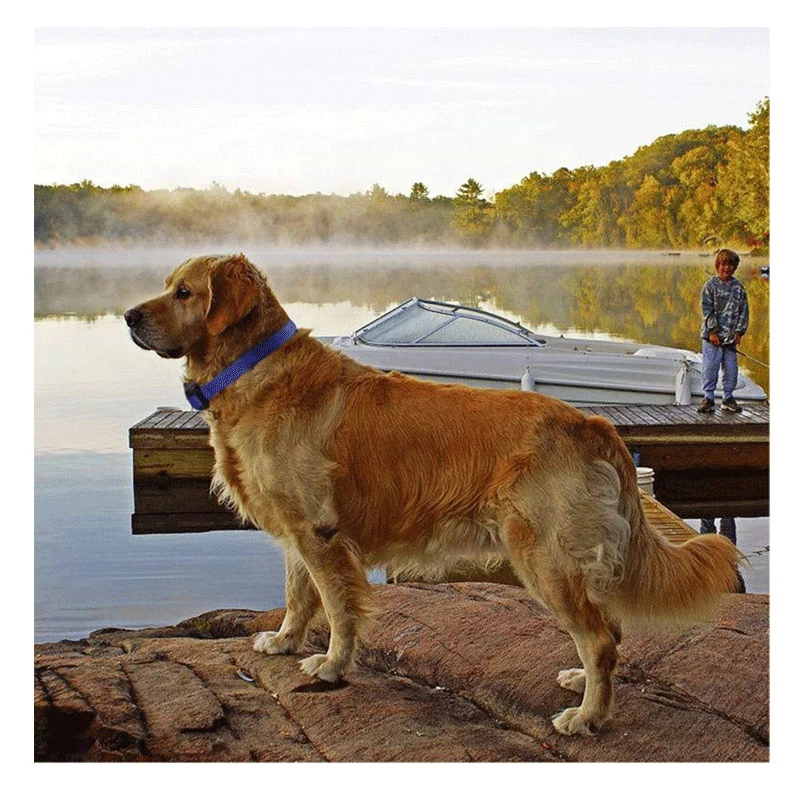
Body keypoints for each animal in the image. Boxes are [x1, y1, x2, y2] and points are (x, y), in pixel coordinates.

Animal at [126, 255, 744, 736]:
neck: (253, 370)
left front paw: (332, 667)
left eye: (184, 292)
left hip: (543, 557)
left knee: (598, 639)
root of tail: (590, 421)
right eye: (169, 284)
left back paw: (587, 717)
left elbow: (337, 609)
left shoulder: (320, 535)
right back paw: (581, 686)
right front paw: (283, 642)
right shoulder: (298, 533)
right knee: (608, 632)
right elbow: (298, 597)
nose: (130, 316)